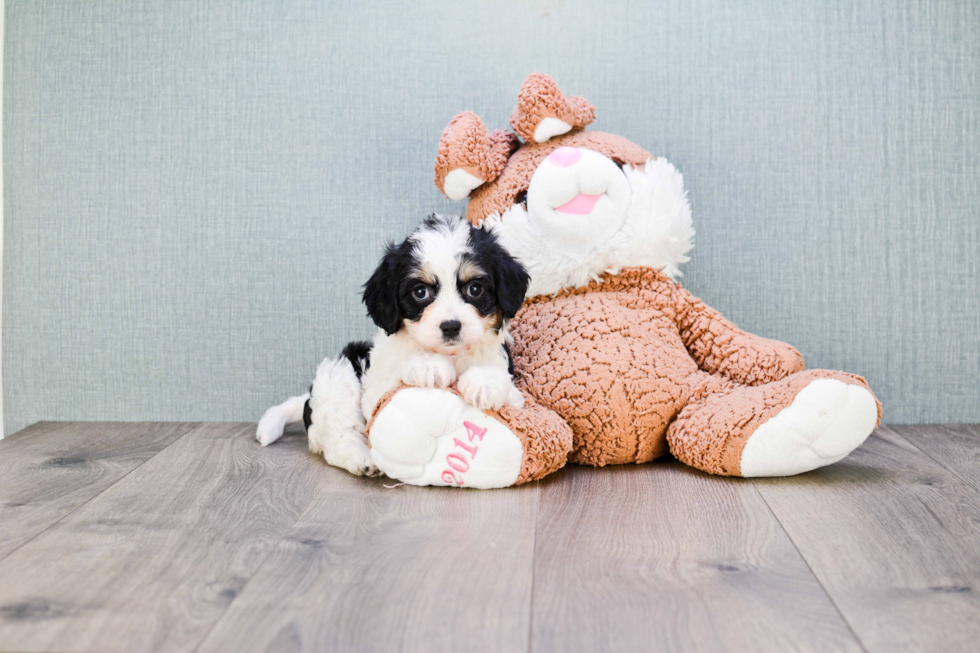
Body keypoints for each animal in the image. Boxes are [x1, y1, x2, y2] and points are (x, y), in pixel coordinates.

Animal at [253, 214, 528, 474]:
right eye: (420, 293)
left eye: (475, 289)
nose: (450, 326)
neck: (450, 354)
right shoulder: (377, 390)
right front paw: (428, 366)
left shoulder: (516, 397)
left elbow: (502, 383)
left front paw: (485, 382)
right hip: (339, 374)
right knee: (338, 436)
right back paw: (361, 459)